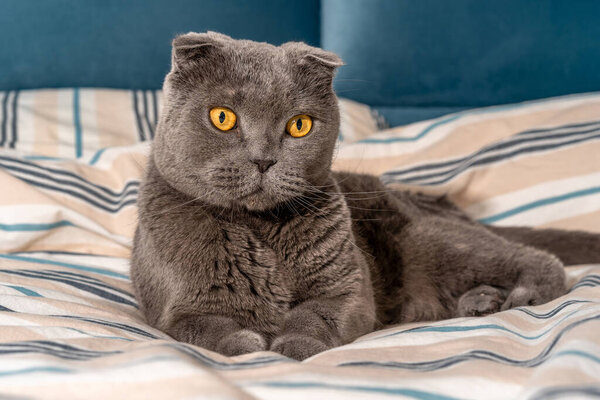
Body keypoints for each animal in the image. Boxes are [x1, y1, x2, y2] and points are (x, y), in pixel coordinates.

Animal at [131, 32, 600, 360]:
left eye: (299, 125)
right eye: (222, 118)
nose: (264, 160)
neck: (260, 228)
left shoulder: (350, 288)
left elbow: (317, 313)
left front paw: (293, 345)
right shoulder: (174, 307)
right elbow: (197, 328)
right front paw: (246, 344)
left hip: (429, 239)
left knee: (539, 258)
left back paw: (521, 296)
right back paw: (481, 302)